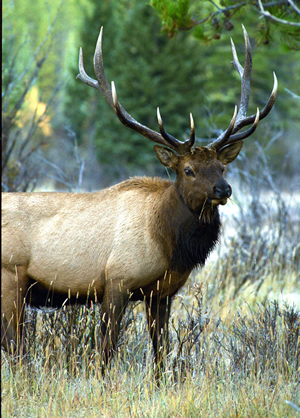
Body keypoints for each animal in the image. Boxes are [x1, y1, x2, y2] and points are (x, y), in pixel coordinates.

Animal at [1, 24, 276, 380]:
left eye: (222, 166)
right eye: (188, 170)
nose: (223, 189)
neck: (168, 243)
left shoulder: (162, 293)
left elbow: (161, 351)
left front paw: (160, 382)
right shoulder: (116, 281)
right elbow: (106, 349)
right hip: (11, 276)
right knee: (15, 345)